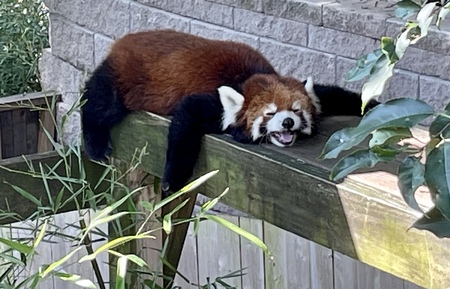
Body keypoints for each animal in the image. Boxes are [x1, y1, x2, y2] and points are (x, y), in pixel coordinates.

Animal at [81, 29, 380, 196]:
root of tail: (123, 42)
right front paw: (172, 180)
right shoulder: (211, 103)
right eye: (269, 114)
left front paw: (374, 108)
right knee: (98, 102)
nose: (287, 122)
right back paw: (95, 144)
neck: (249, 77)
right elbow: (185, 121)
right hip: (121, 77)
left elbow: (333, 94)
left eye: (296, 110)